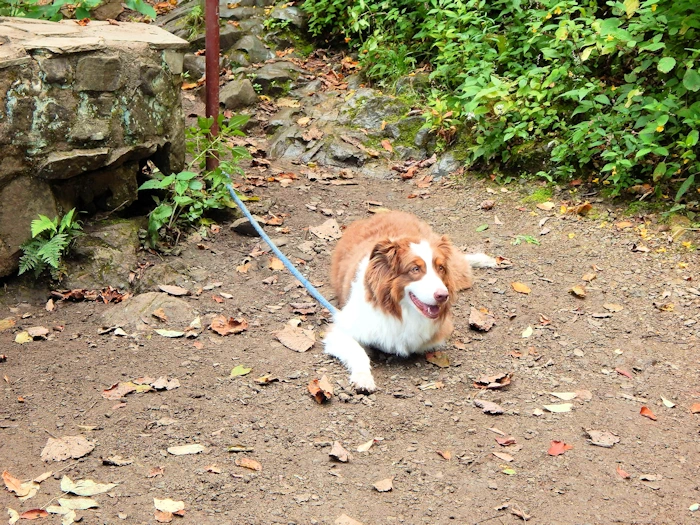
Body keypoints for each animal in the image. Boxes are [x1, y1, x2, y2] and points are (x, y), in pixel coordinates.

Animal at [324, 211, 498, 390]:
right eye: (415, 269)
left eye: (440, 268)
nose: (443, 296)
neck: (401, 311)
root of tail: (389, 212)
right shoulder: (340, 330)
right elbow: (358, 352)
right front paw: (363, 378)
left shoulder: (438, 332)